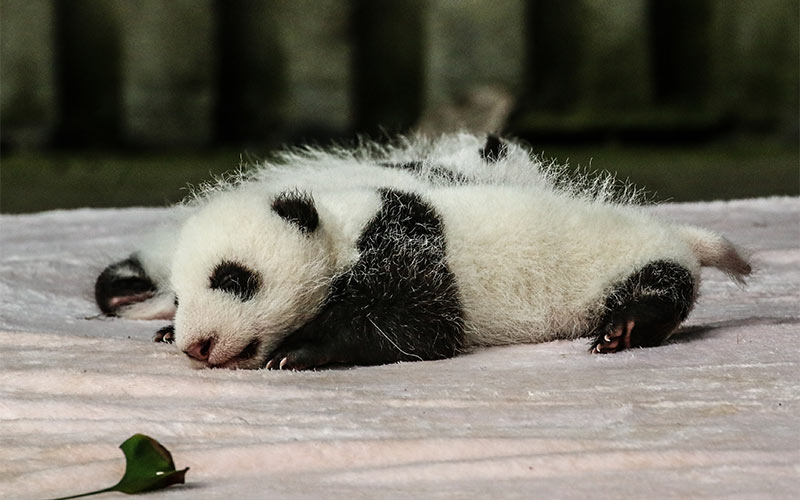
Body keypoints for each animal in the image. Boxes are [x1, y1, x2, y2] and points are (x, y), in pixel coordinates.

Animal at [95, 134, 751, 370]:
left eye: (233, 279)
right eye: (180, 295)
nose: (197, 346)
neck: (342, 222)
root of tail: (677, 234)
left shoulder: (407, 249)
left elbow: (413, 327)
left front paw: (298, 352)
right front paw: (162, 331)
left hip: (629, 259)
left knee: (659, 287)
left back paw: (625, 328)